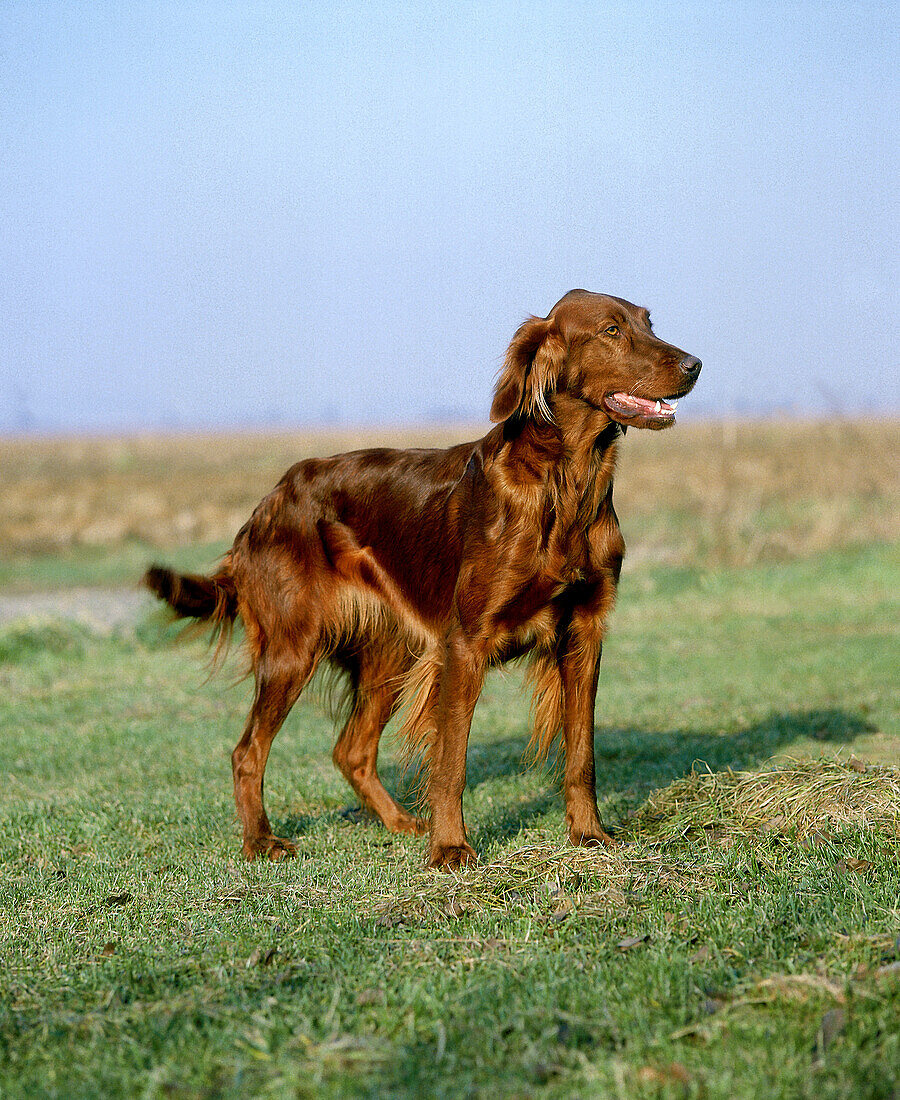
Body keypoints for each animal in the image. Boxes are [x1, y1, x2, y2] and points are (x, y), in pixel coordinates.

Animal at [144, 290, 699, 866]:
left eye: (648, 323)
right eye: (611, 330)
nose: (694, 365)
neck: (565, 480)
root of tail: (265, 504)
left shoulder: (584, 634)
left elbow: (581, 755)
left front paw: (589, 835)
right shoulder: (466, 644)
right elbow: (451, 762)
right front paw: (451, 848)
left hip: (392, 652)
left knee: (352, 750)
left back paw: (399, 824)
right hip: (293, 648)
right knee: (248, 751)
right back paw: (260, 840)